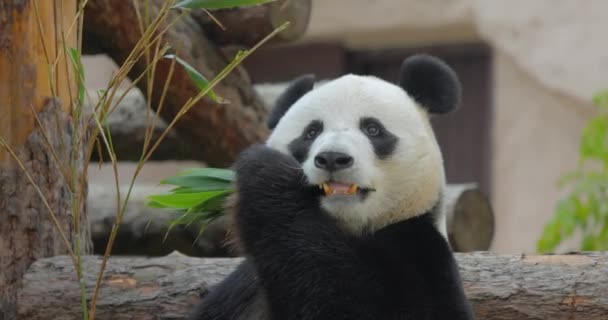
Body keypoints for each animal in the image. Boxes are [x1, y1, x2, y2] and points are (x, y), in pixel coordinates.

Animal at [188, 53, 472, 318]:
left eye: (373, 129)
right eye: (311, 132)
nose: (333, 158)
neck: (344, 227)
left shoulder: (420, 253)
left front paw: (263, 170)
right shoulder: (244, 285)